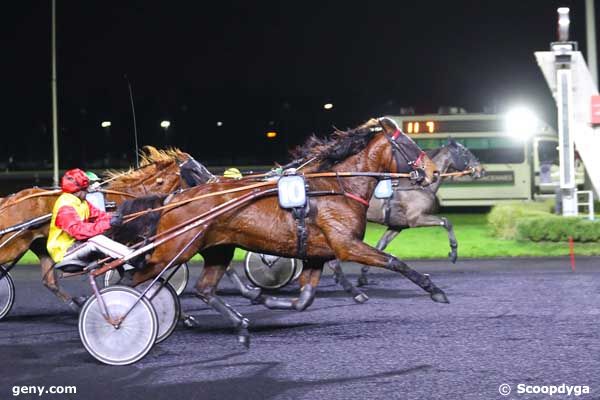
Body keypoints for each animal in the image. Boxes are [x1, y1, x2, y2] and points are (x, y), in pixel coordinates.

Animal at [0, 145, 213, 314]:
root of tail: (9, 200)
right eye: (195, 170)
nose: (214, 184)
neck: (131, 198)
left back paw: (76, 304)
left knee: (49, 281)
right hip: (14, 245)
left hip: (40, 245)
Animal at [127, 116, 446, 346]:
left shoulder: (317, 254)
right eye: (410, 144)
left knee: (203, 289)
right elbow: (394, 261)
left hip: (217, 249)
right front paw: (436, 291)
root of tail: (173, 198)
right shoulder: (346, 245)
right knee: (136, 278)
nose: (432, 172)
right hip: (173, 249)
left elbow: (305, 300)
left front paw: (264, 298)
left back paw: (239, 325)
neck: (338, 187)